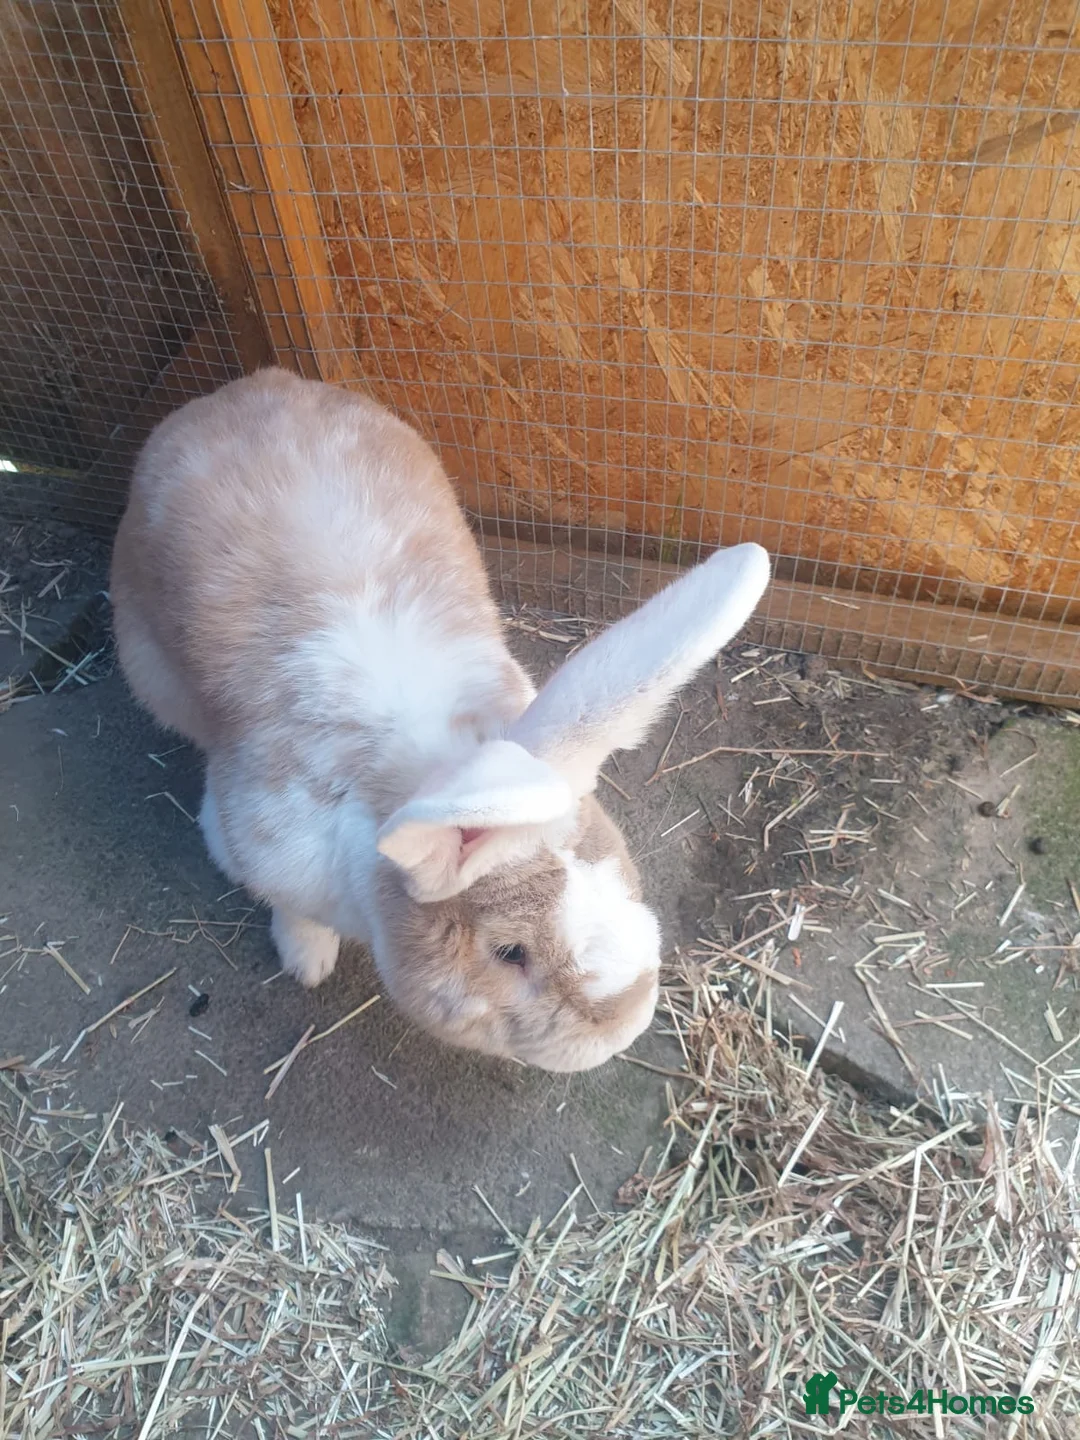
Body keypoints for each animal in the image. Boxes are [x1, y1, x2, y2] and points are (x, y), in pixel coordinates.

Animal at [110, 368, 770, 1072]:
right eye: (510, 953)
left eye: (623, 876)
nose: (624, 1028)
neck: (422, 768)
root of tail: (254, 384)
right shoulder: (264, 845)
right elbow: (291, 910)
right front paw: (307, 962)